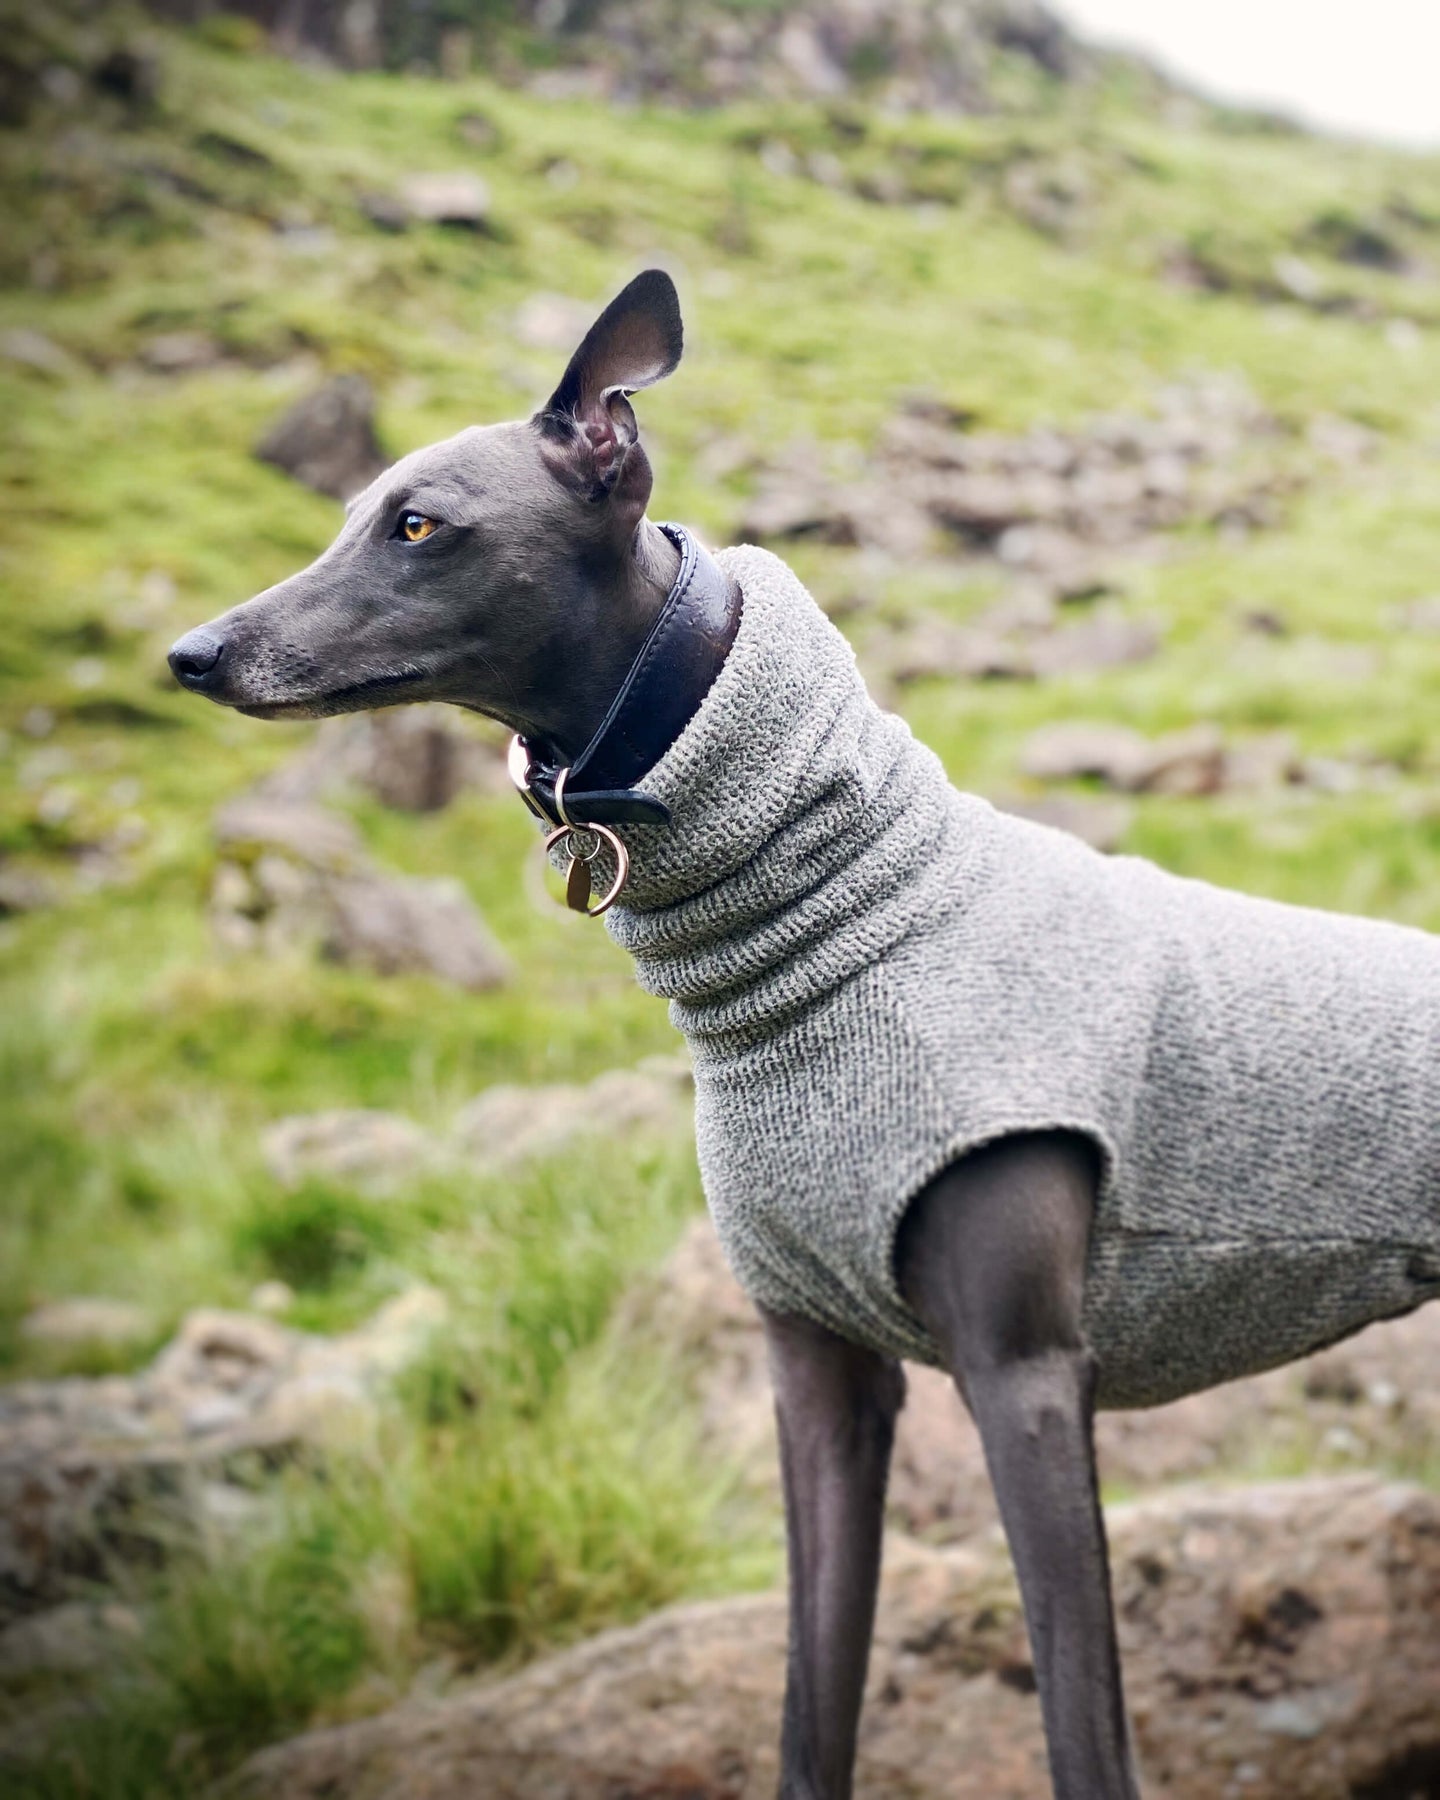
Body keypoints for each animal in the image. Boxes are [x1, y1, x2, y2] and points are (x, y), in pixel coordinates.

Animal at [171, 270, 1425, 1800]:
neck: (842, 918)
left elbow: (1084, 1733)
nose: (193, 654)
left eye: (419, 524)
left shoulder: (1025, 1380)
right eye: (353, 508)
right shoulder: (818, 1377)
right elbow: (806, 1715)